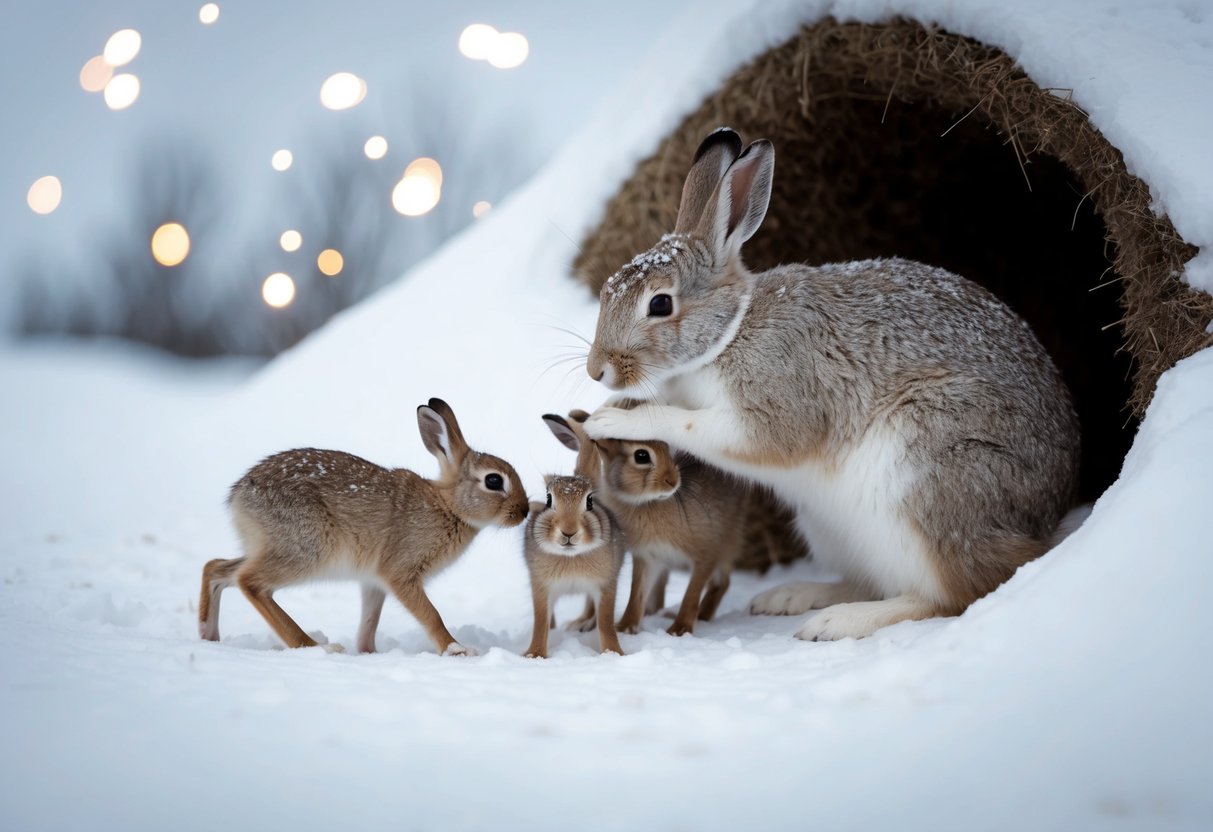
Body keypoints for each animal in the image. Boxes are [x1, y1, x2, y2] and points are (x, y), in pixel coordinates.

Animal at [198, 398, 529, 656]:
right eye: (493, 481)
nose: (524, 512)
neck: (449, 506)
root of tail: (240, 494)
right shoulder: (401, 572)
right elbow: (431, 614)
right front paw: (456, 649)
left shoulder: (374, 581)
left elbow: (371, 619)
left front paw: (370, 652)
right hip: (308, 548)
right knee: (250, 582)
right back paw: (315, 646)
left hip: (271, 545)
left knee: (217, 568)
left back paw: (207, 634)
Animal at [521, 442, 626, 658]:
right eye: (548, 499)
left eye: (590, 501)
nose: (568, 531)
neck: (571, 556)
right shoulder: (541, 586)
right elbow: (540, 621)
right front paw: (534, 655)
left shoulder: (606, 584)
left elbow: (606, 621)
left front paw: (614, 653)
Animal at [543, 409, 748, 636]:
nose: (672, 480)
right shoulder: (646, 555)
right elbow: (635, 592)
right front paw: (618, 626)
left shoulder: (704, 552)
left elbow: (692, 592)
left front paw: (678, 630)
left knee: (721, 581)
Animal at [583, 127, 1080, 642]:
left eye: (660, 304)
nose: (596, 371)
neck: (730, 331)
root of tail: (1043, 519)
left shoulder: (778, 402)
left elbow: (697, 425)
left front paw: (612, 419)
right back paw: (791, 597)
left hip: (928, 477)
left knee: (959, 591)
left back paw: (836, 622)